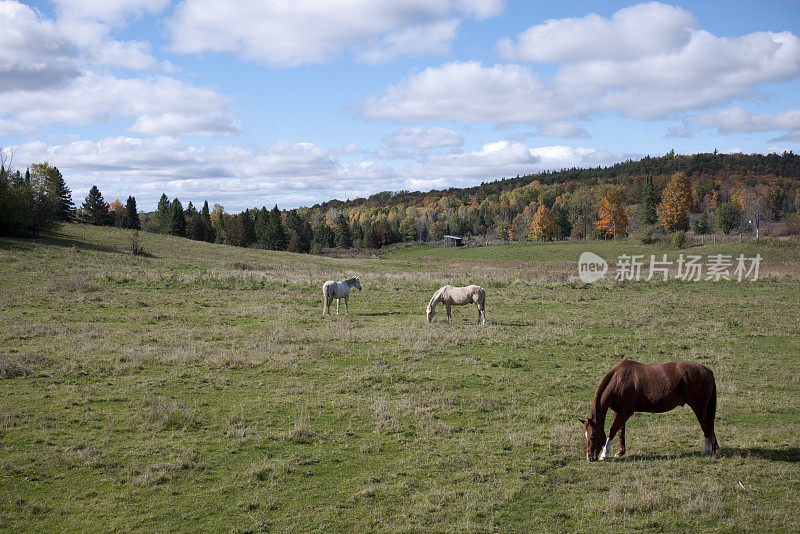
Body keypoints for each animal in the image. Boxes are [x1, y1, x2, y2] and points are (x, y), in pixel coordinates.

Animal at [580, 362, 720, 462]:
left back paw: (707, 450)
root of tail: (705, 368)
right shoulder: (617, 411)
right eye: (585, 436)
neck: (619, 380)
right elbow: (620, 431)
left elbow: (612, 430)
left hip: (699, 407)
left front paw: (604, 454)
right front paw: (620, 452)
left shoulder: (626, 411)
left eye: (592, 436)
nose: (589, 458)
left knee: (706, 426)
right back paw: (714, 449)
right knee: (709, 426)